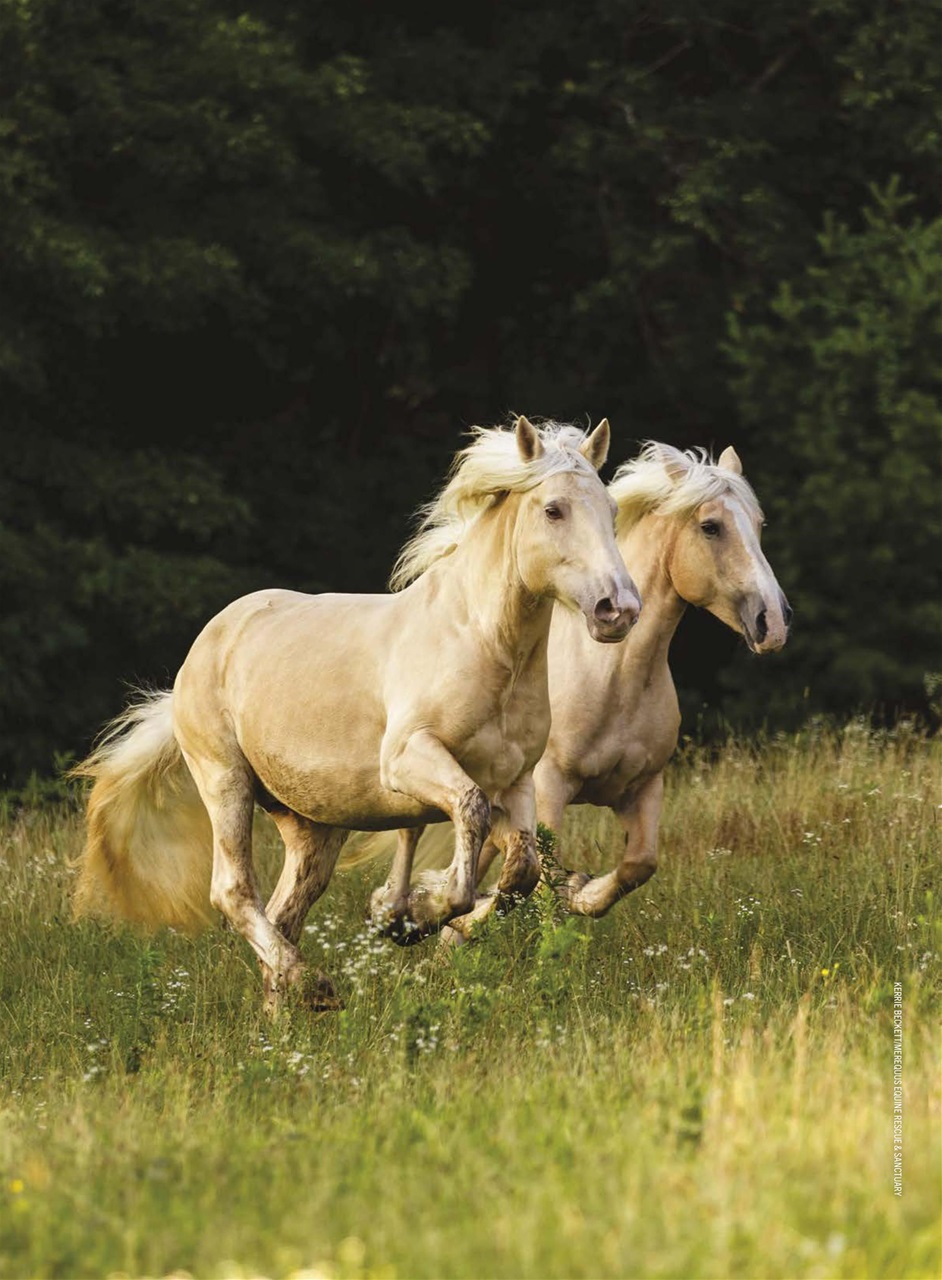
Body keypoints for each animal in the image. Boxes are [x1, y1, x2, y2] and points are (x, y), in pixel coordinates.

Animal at [72, 416, 641, 1009]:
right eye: (553, 509)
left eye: (611, 510)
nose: (618, 611)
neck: (483, 643)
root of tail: (205, 646)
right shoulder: (411, 759)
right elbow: (469, 821)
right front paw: (406, 915)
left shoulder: (517, 780)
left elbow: (521, 872)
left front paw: (410, 911)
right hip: (224, 780)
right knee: (233, 892)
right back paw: (314, 985)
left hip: (311, 824)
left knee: (285, 911)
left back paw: (284, 1014)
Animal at [372, 442, 790, 937]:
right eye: (711, 526)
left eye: (759, 524)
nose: (774, 622)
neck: (612, 675)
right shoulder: (549, 789)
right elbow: (544, 883)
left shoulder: (644, 787)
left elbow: (638, 864)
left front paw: (582, 891)